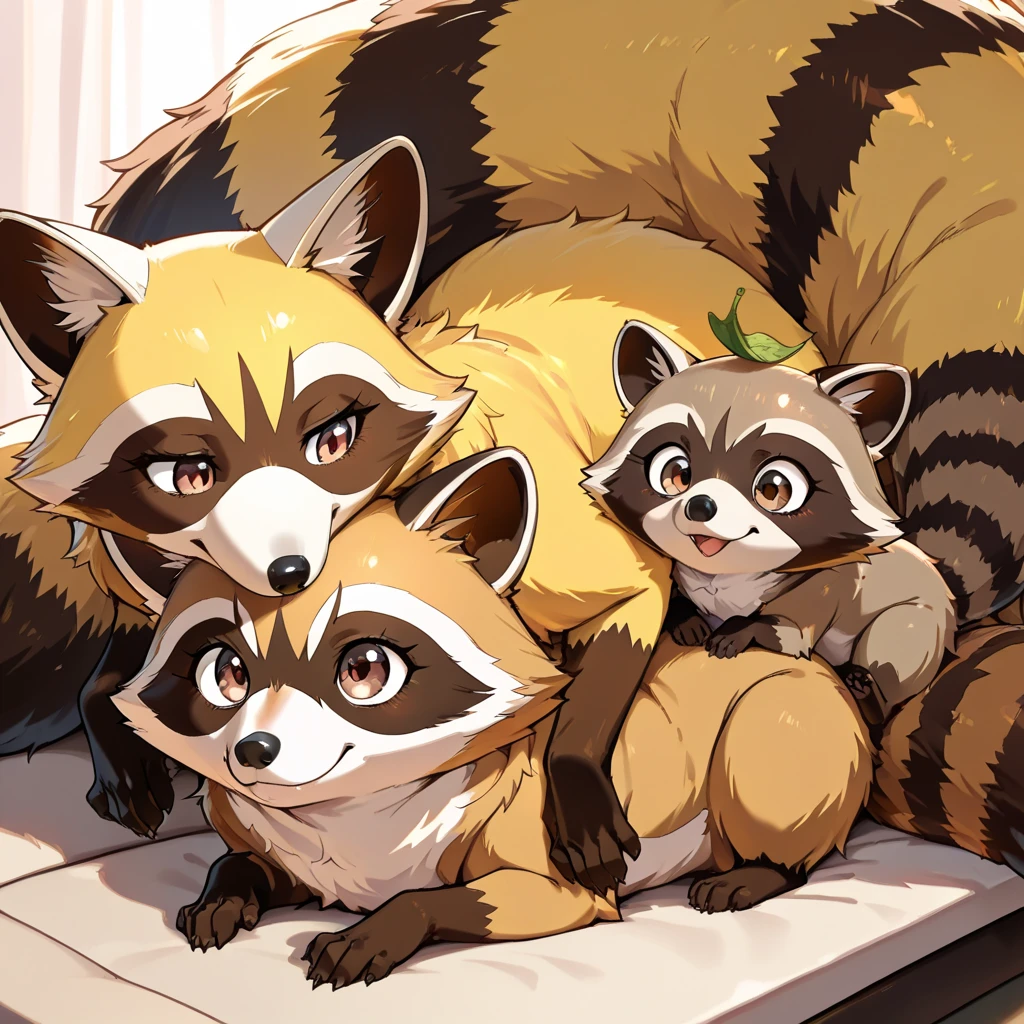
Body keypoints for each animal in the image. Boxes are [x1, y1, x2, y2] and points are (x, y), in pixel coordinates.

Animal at [0, 148, 825, 891]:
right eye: (189, 472)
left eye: (332, 438)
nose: (287, 573)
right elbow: (121, 676)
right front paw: (123, 729)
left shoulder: (592, 553)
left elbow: (603, 650)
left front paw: (571, 783)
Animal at [111, 446, 1023, 990]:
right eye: (227, 672)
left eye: (364, 669)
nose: (255, 751)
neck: (351, 822)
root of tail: (820, 667)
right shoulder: (297, 857)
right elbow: (242, 864)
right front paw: (226, 892)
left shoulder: (559, 886)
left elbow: (446, 899)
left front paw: (383, 926)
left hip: (767, 739)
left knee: (784, 838)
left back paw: (755, 873)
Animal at [582, 321, 957, 735]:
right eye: (676, 473)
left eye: (774, 488)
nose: (701, 505)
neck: (725, 575)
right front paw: (685, 614)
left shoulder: (826, 587)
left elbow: (787, 628)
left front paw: (742, 628)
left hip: (915, 628)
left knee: (893, 644)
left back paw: (870, 695)